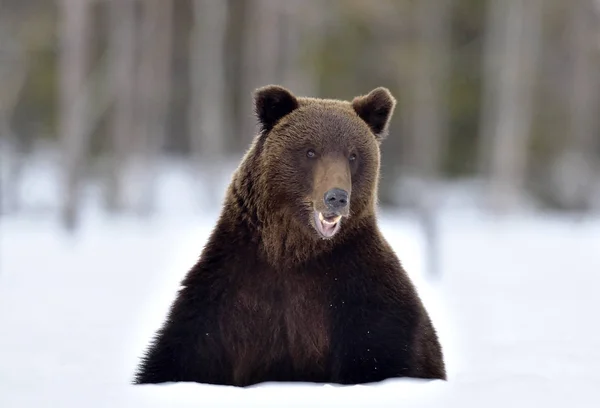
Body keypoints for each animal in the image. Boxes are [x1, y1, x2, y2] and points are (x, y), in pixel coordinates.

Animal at [135, 85, 446, 386]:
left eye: (353, 154)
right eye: (310, 151)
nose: (336, 197)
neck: (293, 251)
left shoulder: (361, 290)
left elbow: (387, 350)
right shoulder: (231, 286)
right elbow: (186, 354)